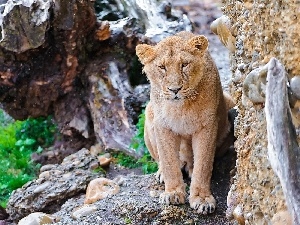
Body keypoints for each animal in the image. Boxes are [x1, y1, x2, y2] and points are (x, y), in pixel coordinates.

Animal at [136, 31, 234, 214]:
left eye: (184, 64)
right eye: (162, 67)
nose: (175, 90)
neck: (181, 107)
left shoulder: (207, 126)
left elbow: (203, 165)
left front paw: (202, 199)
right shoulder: (162, 126)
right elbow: (168, 161)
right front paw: (173, 193)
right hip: (149, 112)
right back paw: (162, 173)